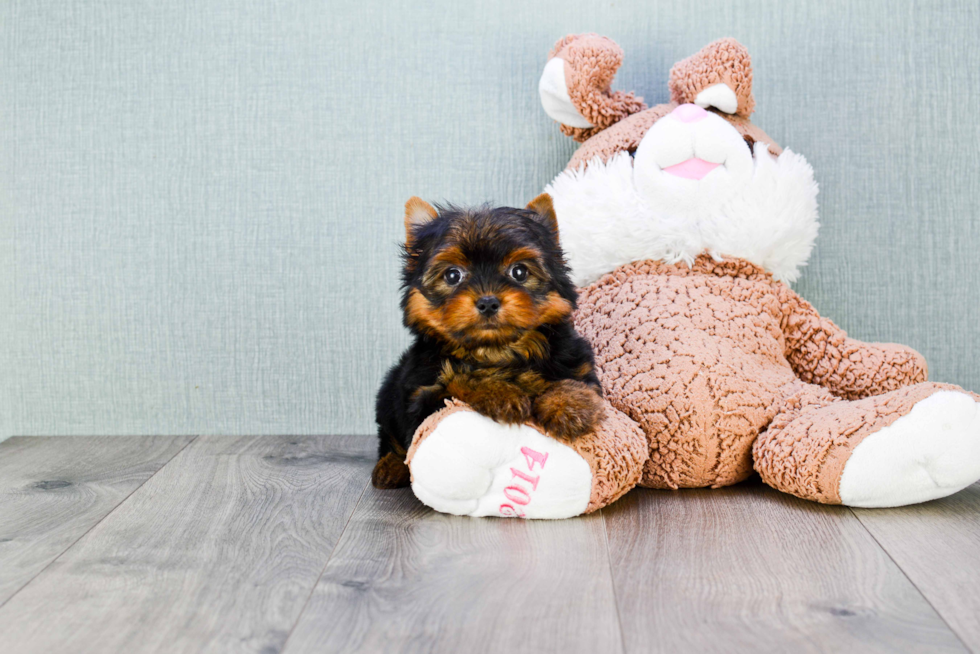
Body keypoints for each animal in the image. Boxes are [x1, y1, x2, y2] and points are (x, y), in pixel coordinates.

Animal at [372, 192, 604, 490]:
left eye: (519, 272)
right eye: (453, 275)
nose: (488, 302)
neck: (496, 350)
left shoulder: (578, 362)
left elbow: (577, 383)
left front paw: (569, 406)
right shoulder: (422, 397)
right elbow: (460, 378)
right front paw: (500, 392)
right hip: (389, 394)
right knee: (391, 436)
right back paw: (390, 466)